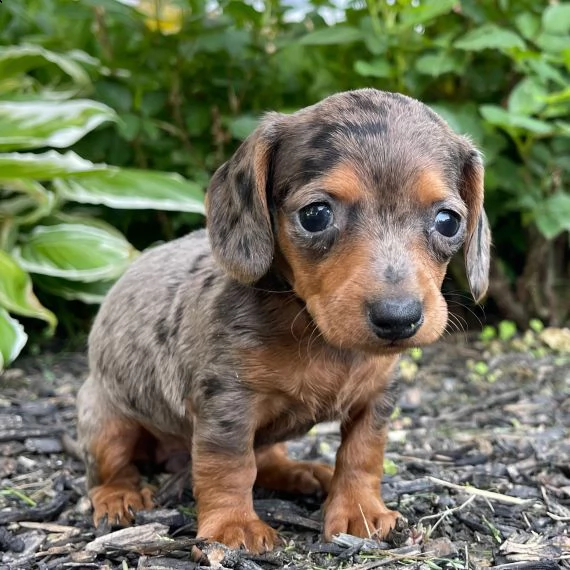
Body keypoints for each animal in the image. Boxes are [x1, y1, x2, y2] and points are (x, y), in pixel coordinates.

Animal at [77, 87, 490, 552]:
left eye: (448, 221)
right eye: (316, 214)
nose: (398, 318)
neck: (314, 330)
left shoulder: (377, 398)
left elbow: (362, 454)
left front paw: (359, 510)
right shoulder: (227, 404)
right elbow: (229, 465)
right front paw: (233, 525)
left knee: (267, 457)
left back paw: (299, 472)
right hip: (106, 418)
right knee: (111, 466)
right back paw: (118, 494)